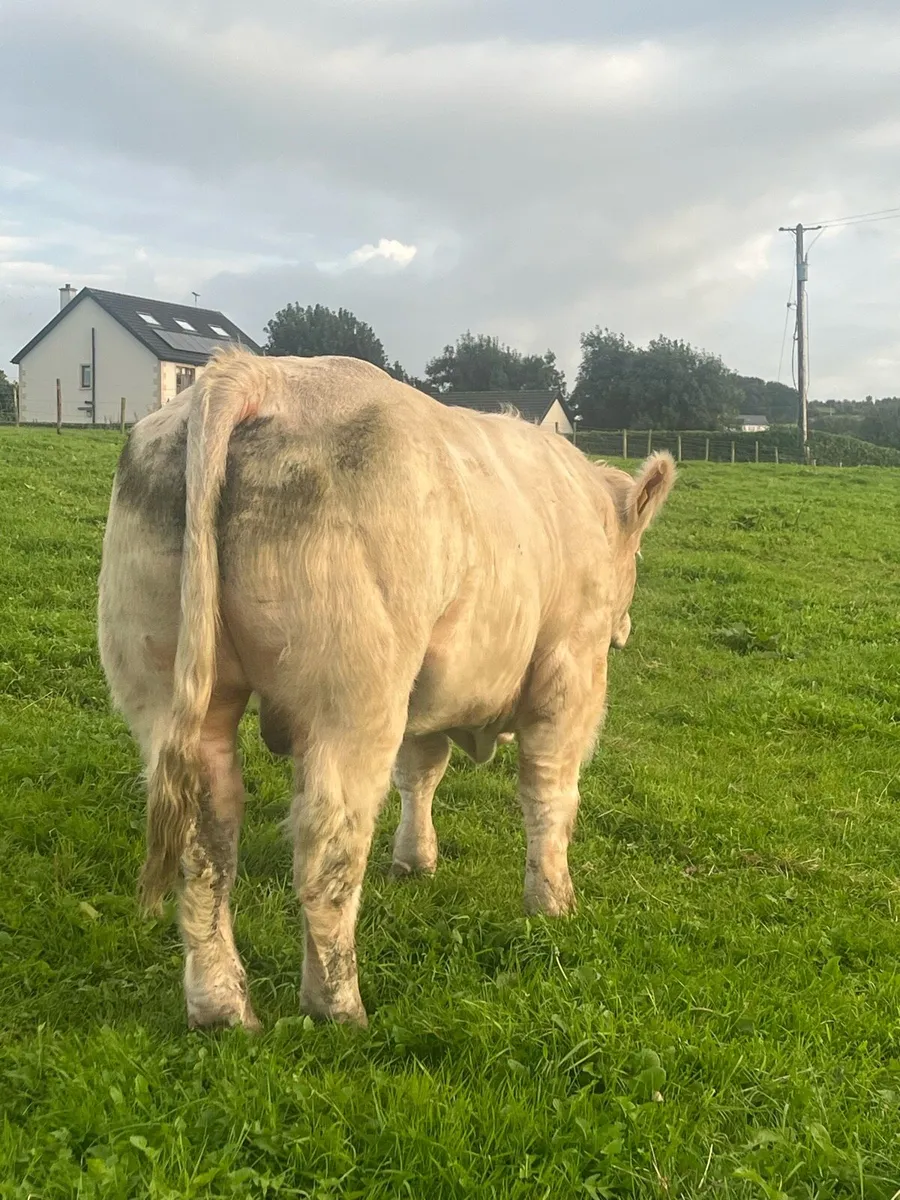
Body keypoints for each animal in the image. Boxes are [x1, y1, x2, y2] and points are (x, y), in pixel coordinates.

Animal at [97, 347, 675, 1031]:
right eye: (638, 556)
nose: (626, 630)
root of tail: (254, 373)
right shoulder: (570, 672)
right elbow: (549, 793)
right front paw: (553, 902)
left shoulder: (428, 692)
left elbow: (420, 772)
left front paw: (415, 861)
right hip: (352, 698)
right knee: (327, 843)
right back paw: (338, 1007)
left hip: (171, 693)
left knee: (203, 841)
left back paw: (223, 1009)